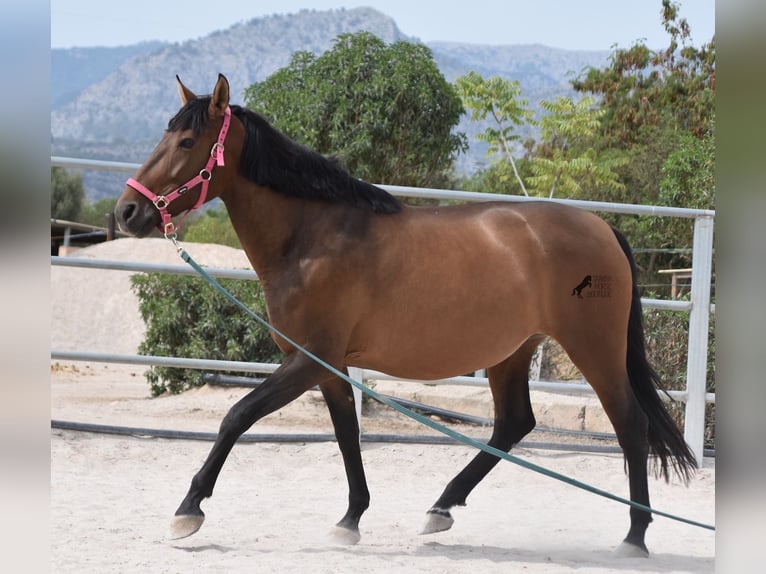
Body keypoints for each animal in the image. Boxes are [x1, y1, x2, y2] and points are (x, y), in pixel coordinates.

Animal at [115, 72, 704, 560]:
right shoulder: (328, 364)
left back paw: (634, 537)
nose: (127, 211)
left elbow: (237, 415)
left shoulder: (309, 360)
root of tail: (602, 228)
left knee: (629, 425)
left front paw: (188, 511)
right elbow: (346, 433)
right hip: (512, 352)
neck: (313, 238)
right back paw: (441, 508)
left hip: (593, 348)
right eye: (164, 136)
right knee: (515, 423)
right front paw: (350, 520)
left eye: (186, 142)